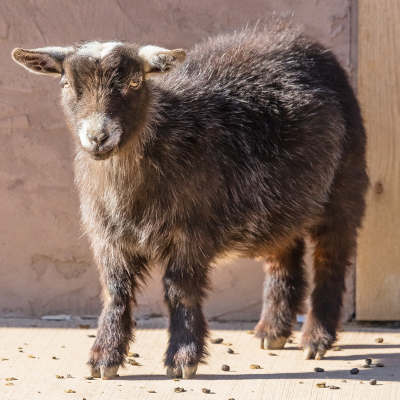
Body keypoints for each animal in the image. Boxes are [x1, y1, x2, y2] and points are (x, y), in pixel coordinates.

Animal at [11, 26, 368, 380]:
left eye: (135, 82)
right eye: (67, 84)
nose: (98, 136)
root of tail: (300, 41)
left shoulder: (191, 231)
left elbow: (180, 290)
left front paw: (183, 358)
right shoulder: (107, 237)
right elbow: (115, 291)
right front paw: (104, 357)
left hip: (344, 188)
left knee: (331, 261)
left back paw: (316, 338)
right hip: (278, 207)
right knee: (284, 257)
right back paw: (273, 330)